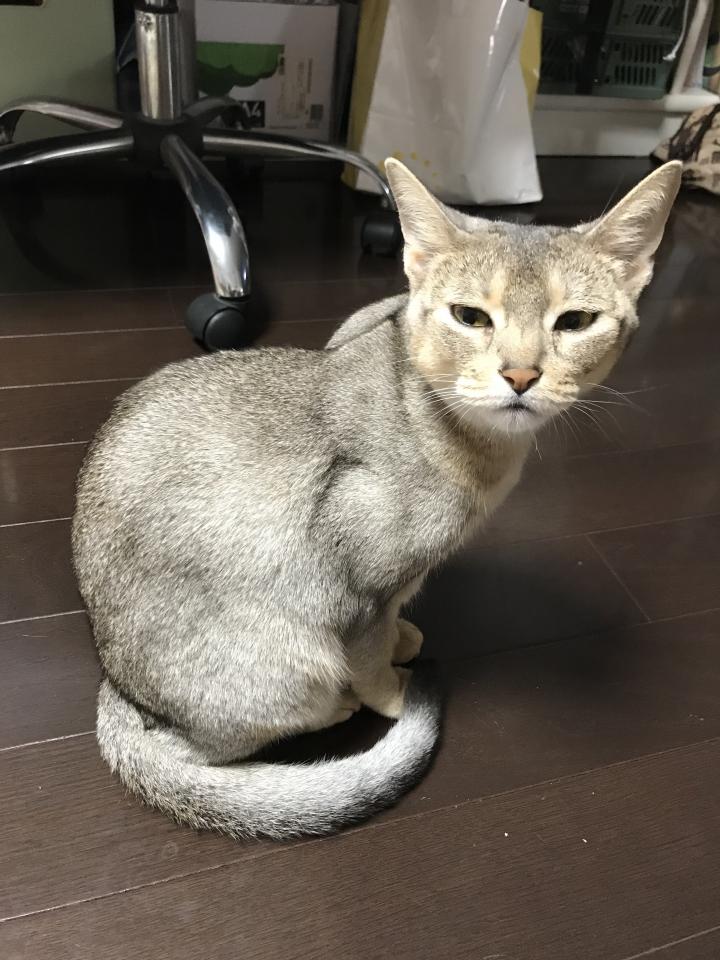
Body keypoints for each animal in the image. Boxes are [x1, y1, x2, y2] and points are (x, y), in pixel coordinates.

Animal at [72, 158, 681, 839]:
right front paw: (392, 691)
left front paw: (402, 639)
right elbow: (368, 655)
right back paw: (336, 707)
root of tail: (116, 686)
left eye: (575, 322)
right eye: (470, 316)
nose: (521, 376)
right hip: (290, 666)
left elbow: (391, 623)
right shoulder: (356, 587)